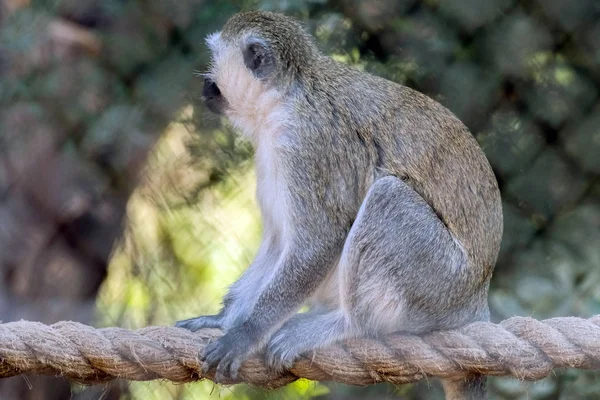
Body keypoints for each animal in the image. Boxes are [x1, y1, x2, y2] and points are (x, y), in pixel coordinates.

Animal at [177, 10, 502, 398]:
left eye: (215, 60)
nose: (205, 84)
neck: (287, 95)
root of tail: (476, 302)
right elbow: (279, 242)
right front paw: (225, 319)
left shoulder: (305, 144)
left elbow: (318, 242)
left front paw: (245, 334)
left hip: (440, 285)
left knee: (388, 197)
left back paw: (351, 324)